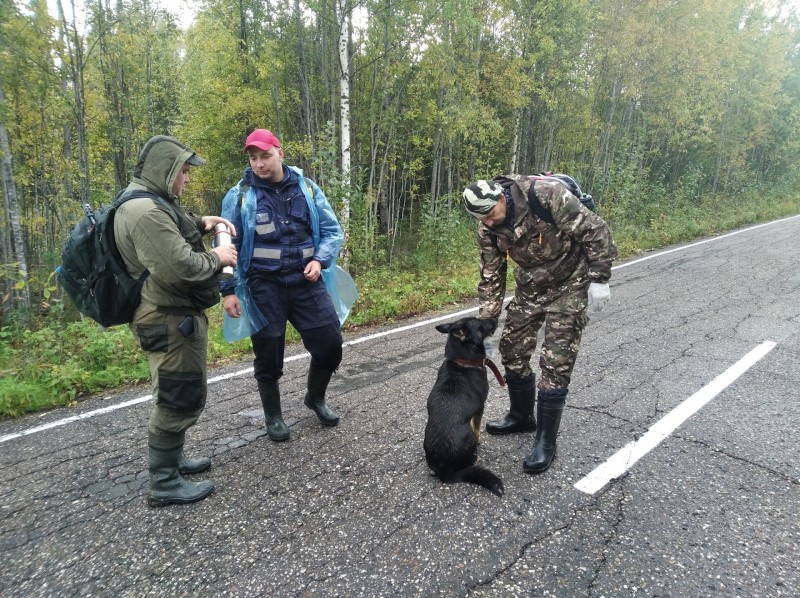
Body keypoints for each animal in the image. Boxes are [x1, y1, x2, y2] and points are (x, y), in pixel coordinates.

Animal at [422, 318, 504, 496]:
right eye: (480, 325)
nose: (495, 318)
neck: (463, 361)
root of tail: (444, 472)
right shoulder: (480, 408)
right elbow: (477, 427)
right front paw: (480, 440)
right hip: (468, 436)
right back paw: (475, 458)